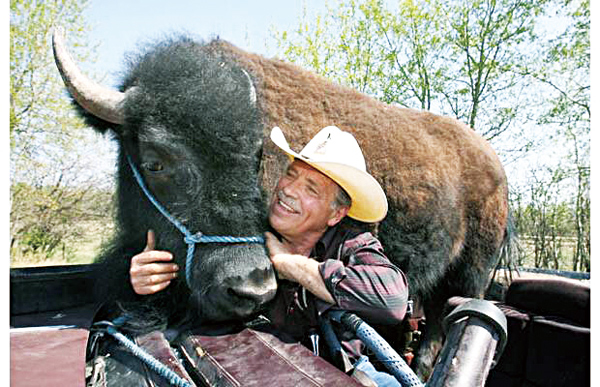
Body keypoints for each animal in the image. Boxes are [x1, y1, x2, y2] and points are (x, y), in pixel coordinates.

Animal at [52, 28, 510, 380]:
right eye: (154, 161)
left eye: (256, 154)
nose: (249, 287)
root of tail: (493, 162)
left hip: (471, 272)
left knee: (446, 317)